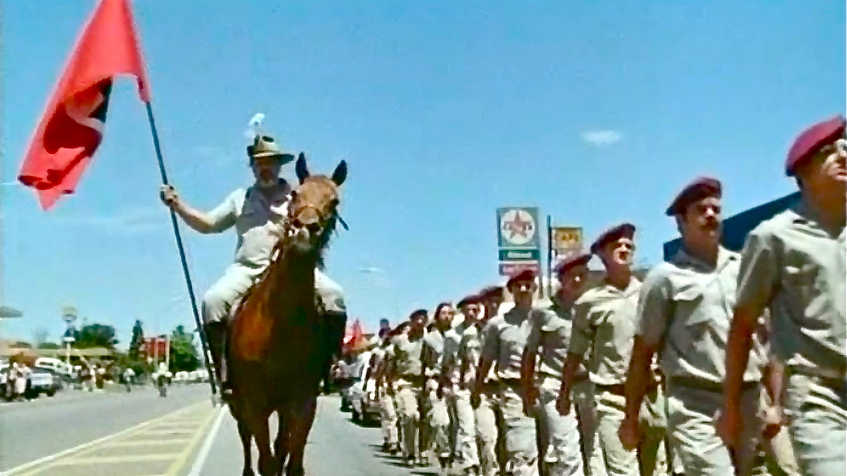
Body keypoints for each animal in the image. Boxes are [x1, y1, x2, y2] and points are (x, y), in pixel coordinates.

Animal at [227, 153, 350, 476]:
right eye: (295, 194)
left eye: (334, 201)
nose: (305, 229)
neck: (282, 324)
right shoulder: (255, 403)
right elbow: (267, 460)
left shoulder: (303, 401)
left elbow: (290, 460)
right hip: (240, 404)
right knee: (246, 441)